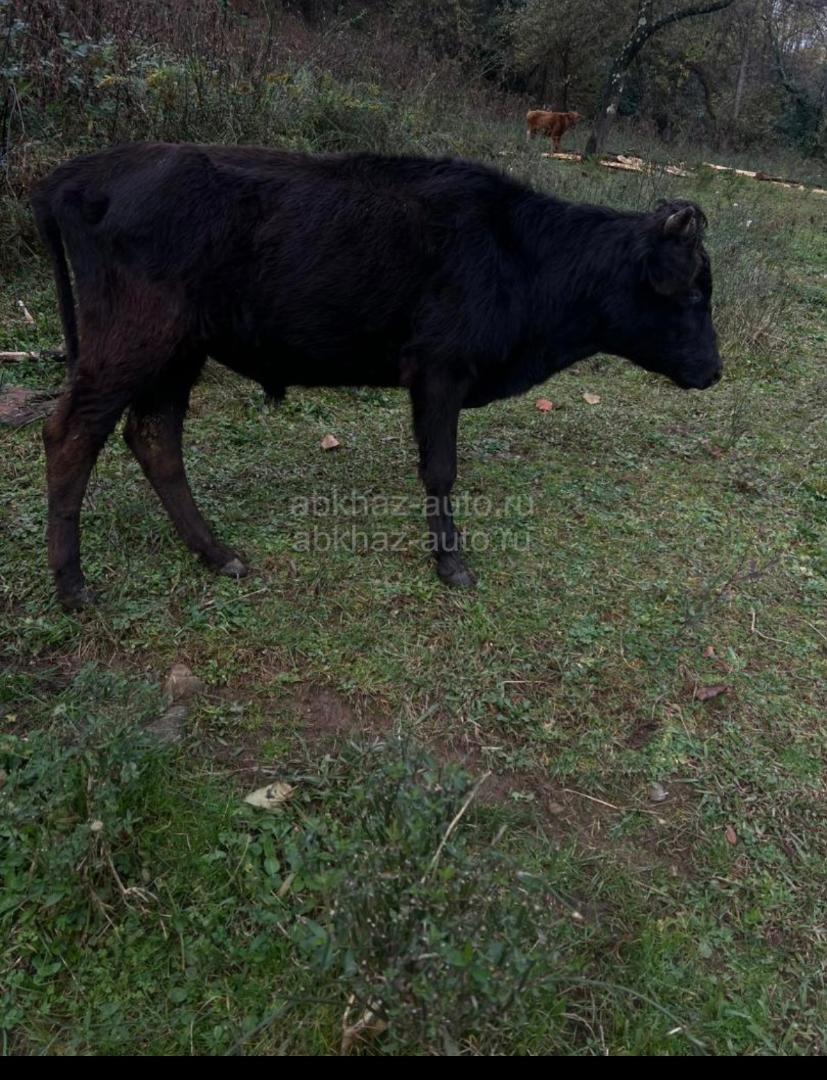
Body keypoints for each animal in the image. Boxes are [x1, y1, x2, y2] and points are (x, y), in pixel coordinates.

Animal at [32, 143, 721, 611]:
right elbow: (441, 470)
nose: (715, 370)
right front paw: (451, 564)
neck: (518, 250)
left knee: (153, 437)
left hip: (180, 353)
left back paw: (216, 554)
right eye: (692, 293)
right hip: (132, 343)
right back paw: (72, 586)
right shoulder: (440, 370)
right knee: (71, 433)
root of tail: (83, 173)